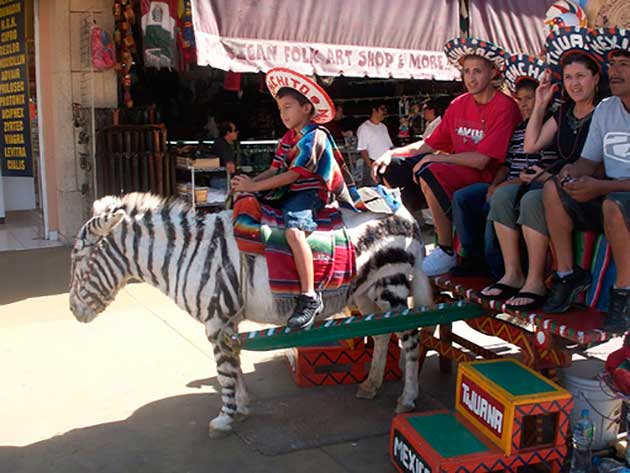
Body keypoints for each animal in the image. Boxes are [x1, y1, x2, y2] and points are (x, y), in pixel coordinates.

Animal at [69, 192, 434, 436]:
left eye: (78, 259)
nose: (73, 311)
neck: (190, 254)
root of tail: (404, 212)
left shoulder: (216, 321)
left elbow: (223, 371)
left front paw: (225, 418)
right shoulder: (227, 320)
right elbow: (233, 366)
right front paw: (241, 407)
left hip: (391, 286)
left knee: (411, 339)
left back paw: (407, 398)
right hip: (366, 292)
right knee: (383, 335)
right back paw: (371, 385)